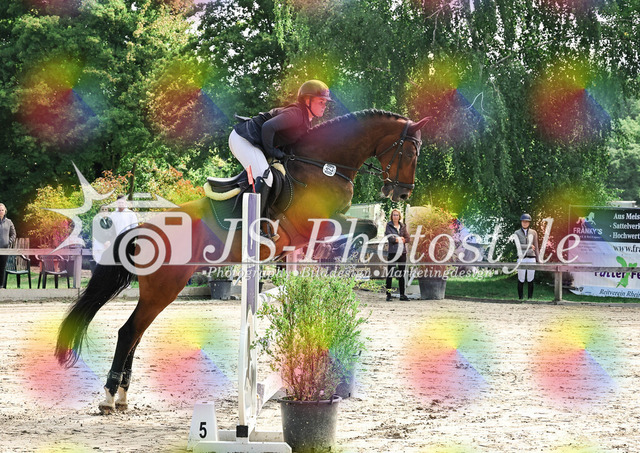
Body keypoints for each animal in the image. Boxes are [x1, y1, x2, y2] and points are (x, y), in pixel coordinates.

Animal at [55, 109, 431, 413]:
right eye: (409, 151)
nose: (402, 194)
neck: (325, 166)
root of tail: (143, 227)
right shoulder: (319, 222)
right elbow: (365, 227)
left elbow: (364, 228)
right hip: (164, 286)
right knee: (129, 331)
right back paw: (108, 397)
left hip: (162, 288)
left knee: (135, 332)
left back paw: (121, 396)